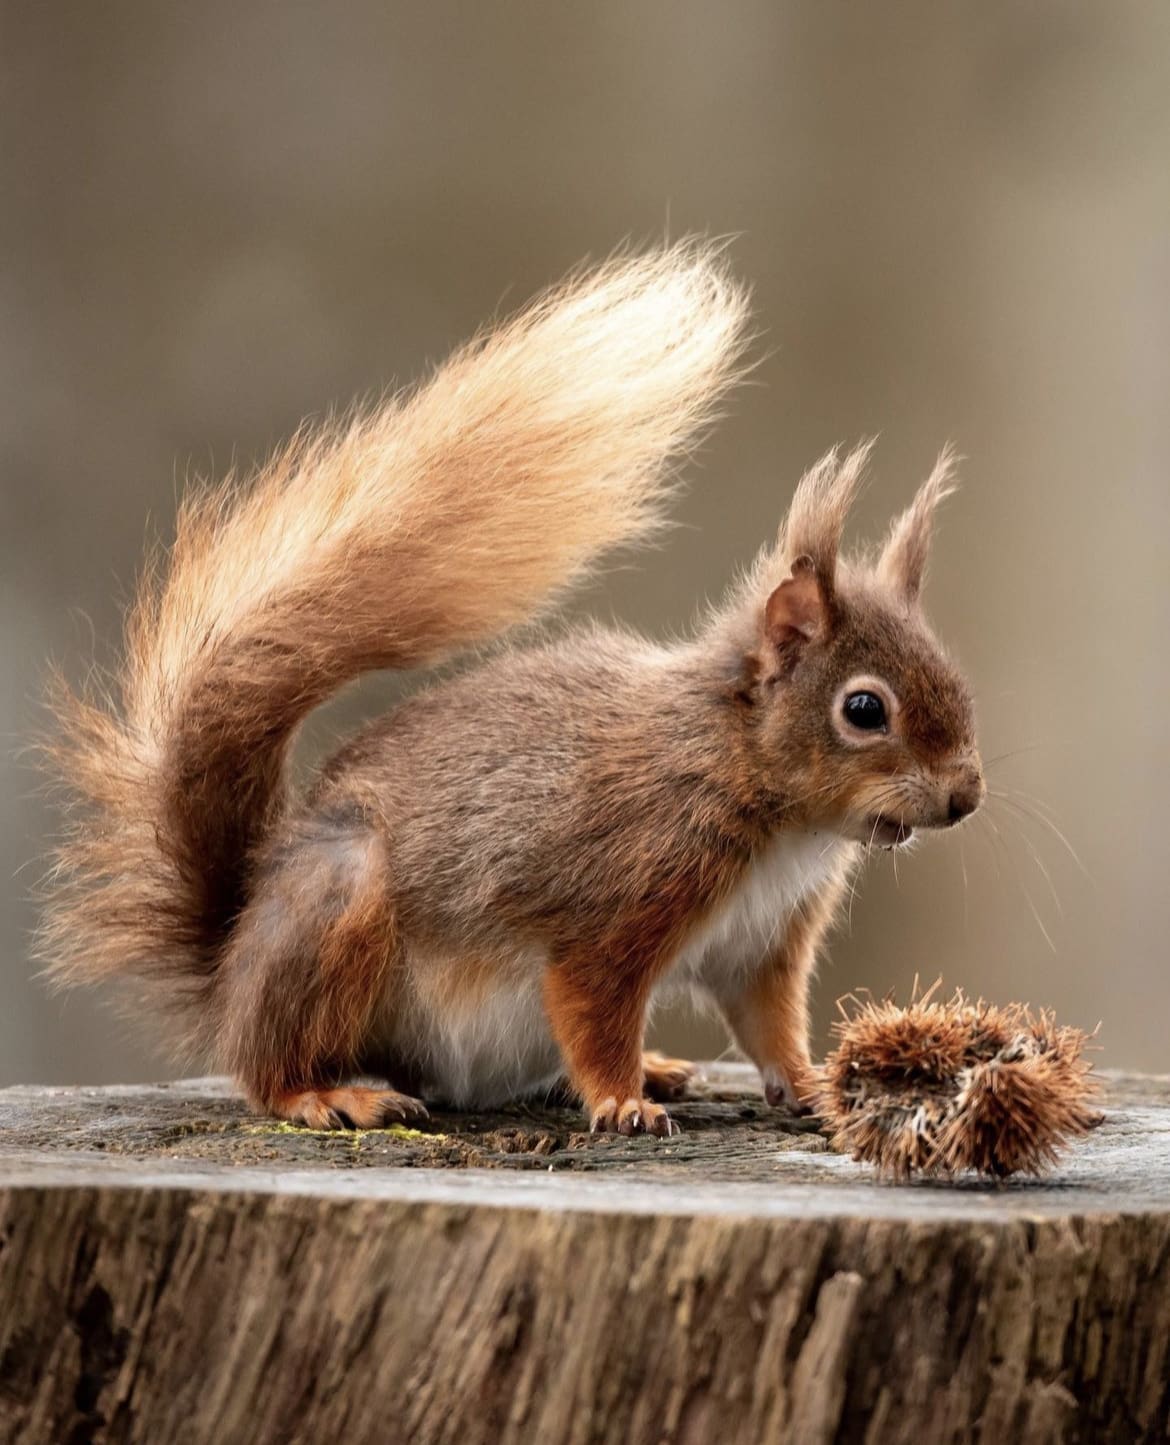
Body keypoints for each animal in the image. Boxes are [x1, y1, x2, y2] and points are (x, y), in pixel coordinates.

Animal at [40, 239, 982, 1138]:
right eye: (865, 709)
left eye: (956, 680)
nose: (965, 797)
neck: (760, 793)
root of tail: (231, 960)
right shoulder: (620, 895)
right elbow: (593, 1004)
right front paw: (622, 1100)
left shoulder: (763, 945)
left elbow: (769, 1026)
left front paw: (815, 1086)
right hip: (337, 910)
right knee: (266, 1066)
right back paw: (330, 1094)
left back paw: (655, 1066)